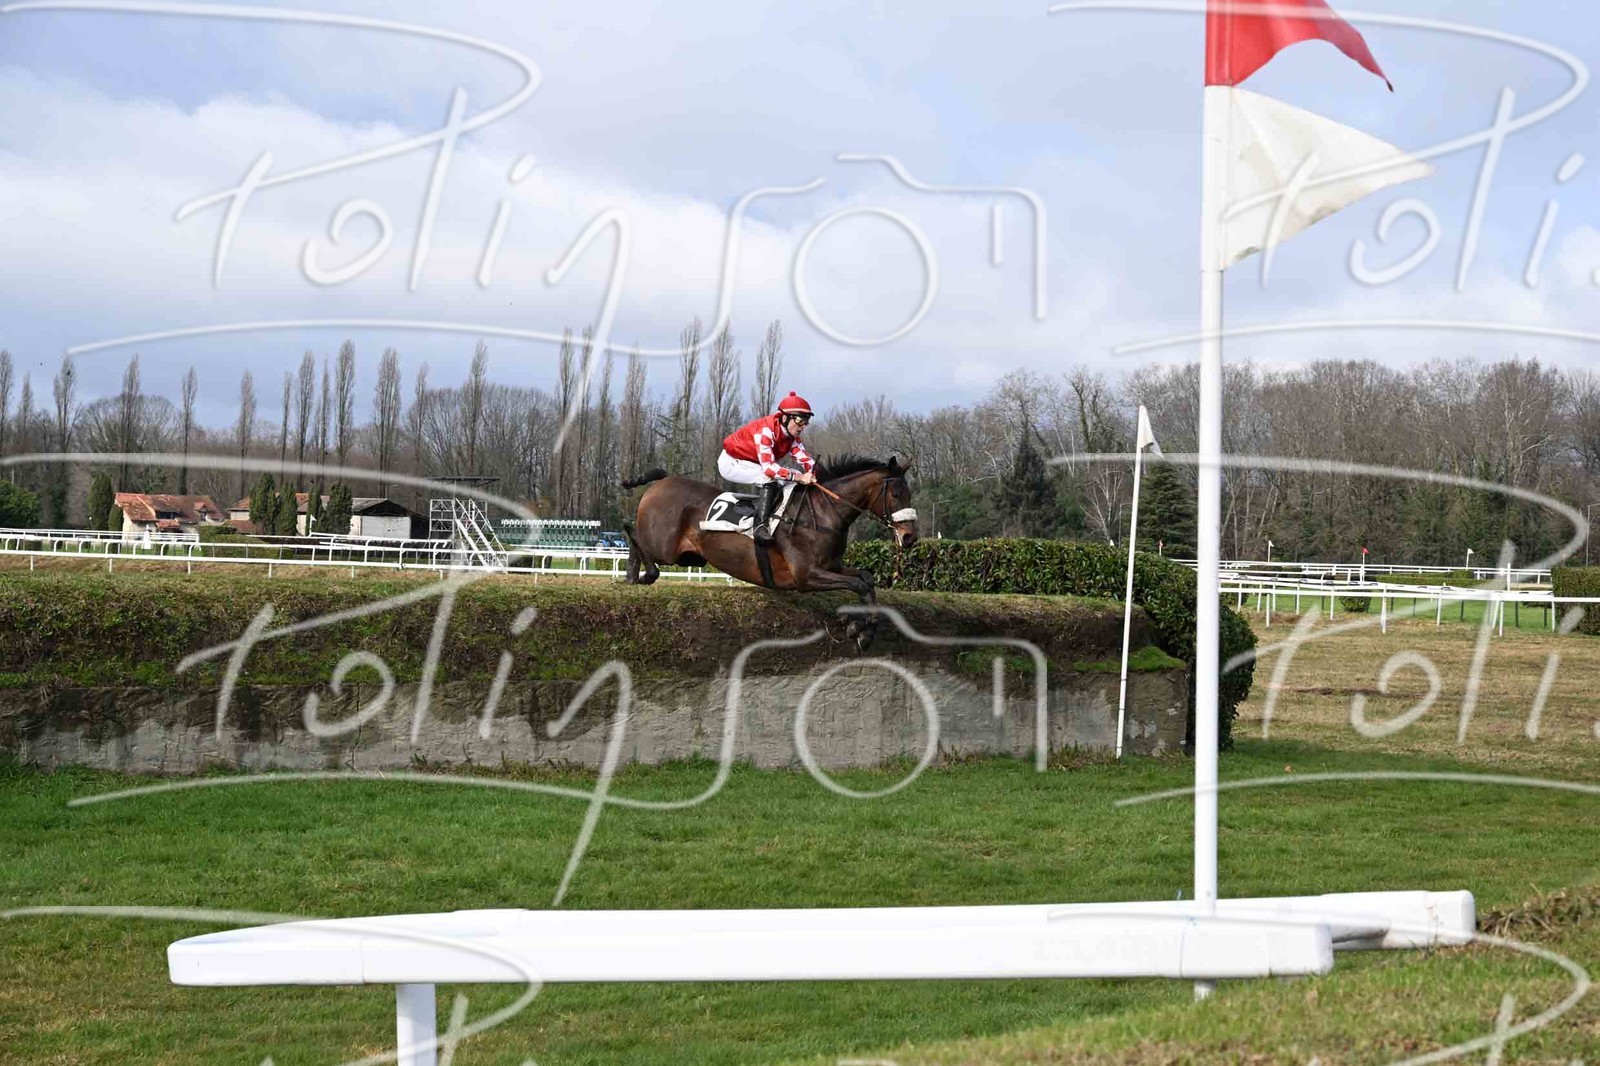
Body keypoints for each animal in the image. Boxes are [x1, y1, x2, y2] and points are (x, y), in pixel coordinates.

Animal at [620, 455, 919, 649]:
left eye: (909, 494)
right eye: (895, 494)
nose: (909, 537)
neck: (822, 513)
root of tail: (663, 480)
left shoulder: (831, 566)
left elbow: (866, 578)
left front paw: (861, 628)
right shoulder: (806, 575)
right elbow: (859, 584)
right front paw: (861, 630)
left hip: (687, 555)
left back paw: (632, 576)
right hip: (667, 548)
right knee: (632, 531)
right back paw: (643, 573)